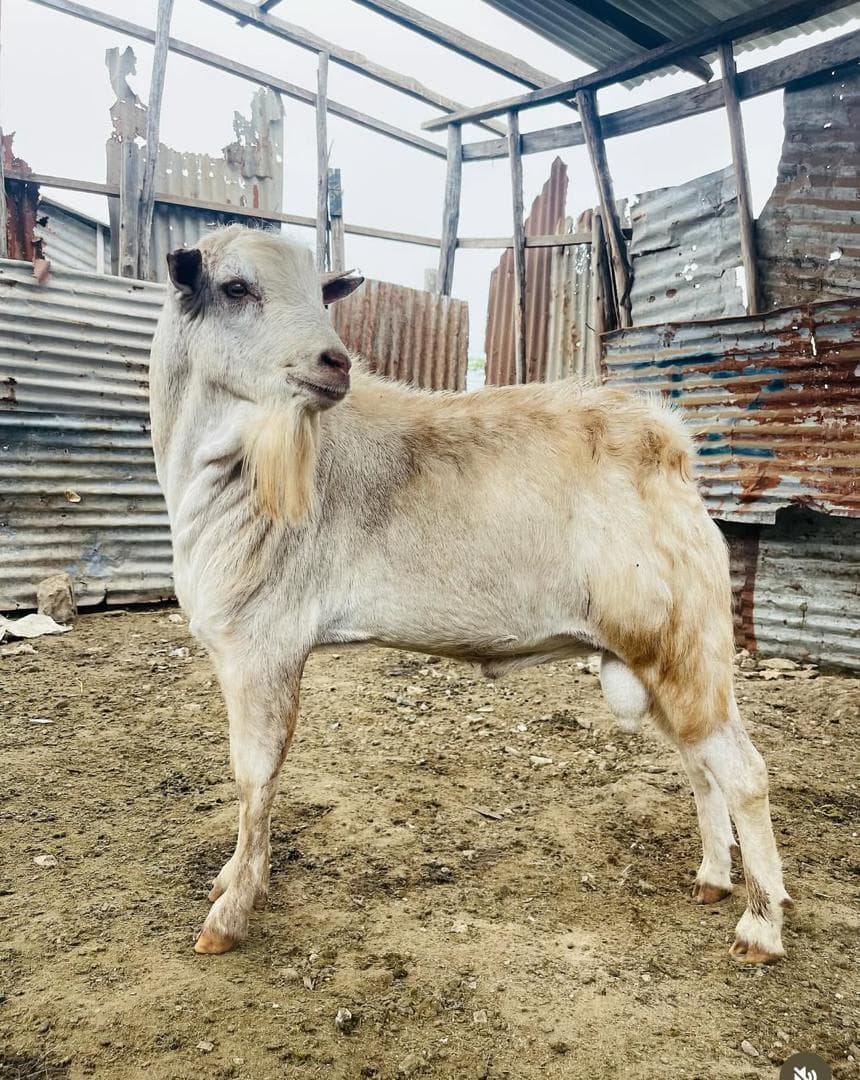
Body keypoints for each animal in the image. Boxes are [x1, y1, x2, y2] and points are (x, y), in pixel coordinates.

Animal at [149, 225, 791, 963]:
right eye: (236, 288)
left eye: (320, 295)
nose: (334, 363)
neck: (230, 471)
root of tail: (671, 448)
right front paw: (231, 878)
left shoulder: (263, 648)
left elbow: (254, 778)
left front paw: (228, 915)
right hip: (658, 657)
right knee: (699, 764)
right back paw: (713, 878)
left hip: (684, 644)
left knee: (744, 772)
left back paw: (762, 925)